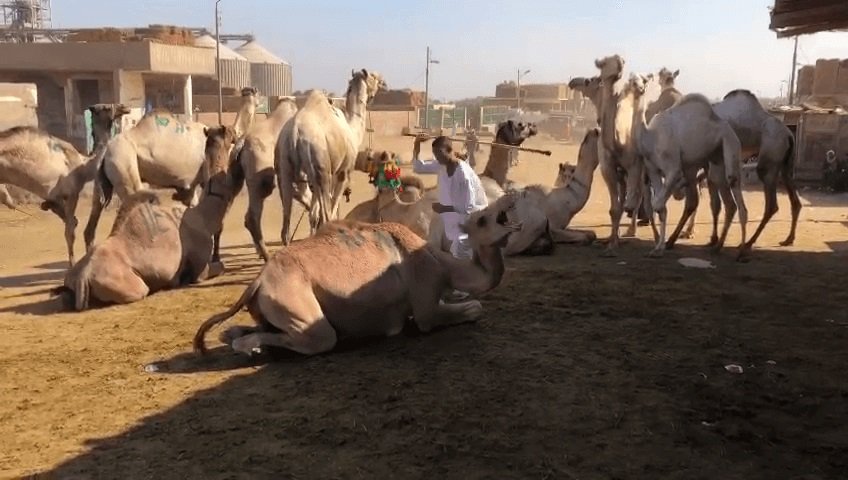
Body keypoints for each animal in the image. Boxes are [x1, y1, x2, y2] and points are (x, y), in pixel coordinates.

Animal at [53, 125, 241, 311]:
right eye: (230, 134)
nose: (236, 134)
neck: (203, 215)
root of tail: (82, 278)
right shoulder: (199, 266)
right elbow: (218, 267)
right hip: (133, 286)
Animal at [191, 193, 522, 357]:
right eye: (482, 219)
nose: (511, 199)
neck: (443, 265)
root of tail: (258, 281)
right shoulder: (426, 302)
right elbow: (473, 308)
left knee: (235, 330)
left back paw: (242, 341)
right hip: (300, 309)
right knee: (320, 339)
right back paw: (251, 347)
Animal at [277, 69, 386, 244]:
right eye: (373, 76)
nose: (384, 82)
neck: (352, 128)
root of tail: (294, 134)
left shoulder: (314, 180)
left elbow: (313, 216)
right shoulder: (343, 172)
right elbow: (331, 212)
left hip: (285, 169)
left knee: (285, 228)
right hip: (321, 169)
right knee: (326, 217)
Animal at [629, 74, 747, 257]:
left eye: (645, 80)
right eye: (631, 79)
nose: (639, 88)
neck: (650, 137)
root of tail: (726, 126)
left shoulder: (673, 168)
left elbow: (658, 204)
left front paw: (661, 246)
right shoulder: (653, 170)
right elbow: (660, 207)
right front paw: (658, 247)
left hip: (730, 144)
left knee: (735, 188)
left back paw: (741, 252)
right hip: (715, 160)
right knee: (728, 201)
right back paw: (717, 246)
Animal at [665, 89, 800, 259]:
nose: (677, 195)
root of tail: (789, 134)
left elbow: (701, 201)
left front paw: (677, 238)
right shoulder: (709, 165)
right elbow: (714, 203)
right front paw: (711, 238)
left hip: (769, 159)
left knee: (771, 204)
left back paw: (748, 244)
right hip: (785, 165)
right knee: (795, 201)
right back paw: (788, 239)